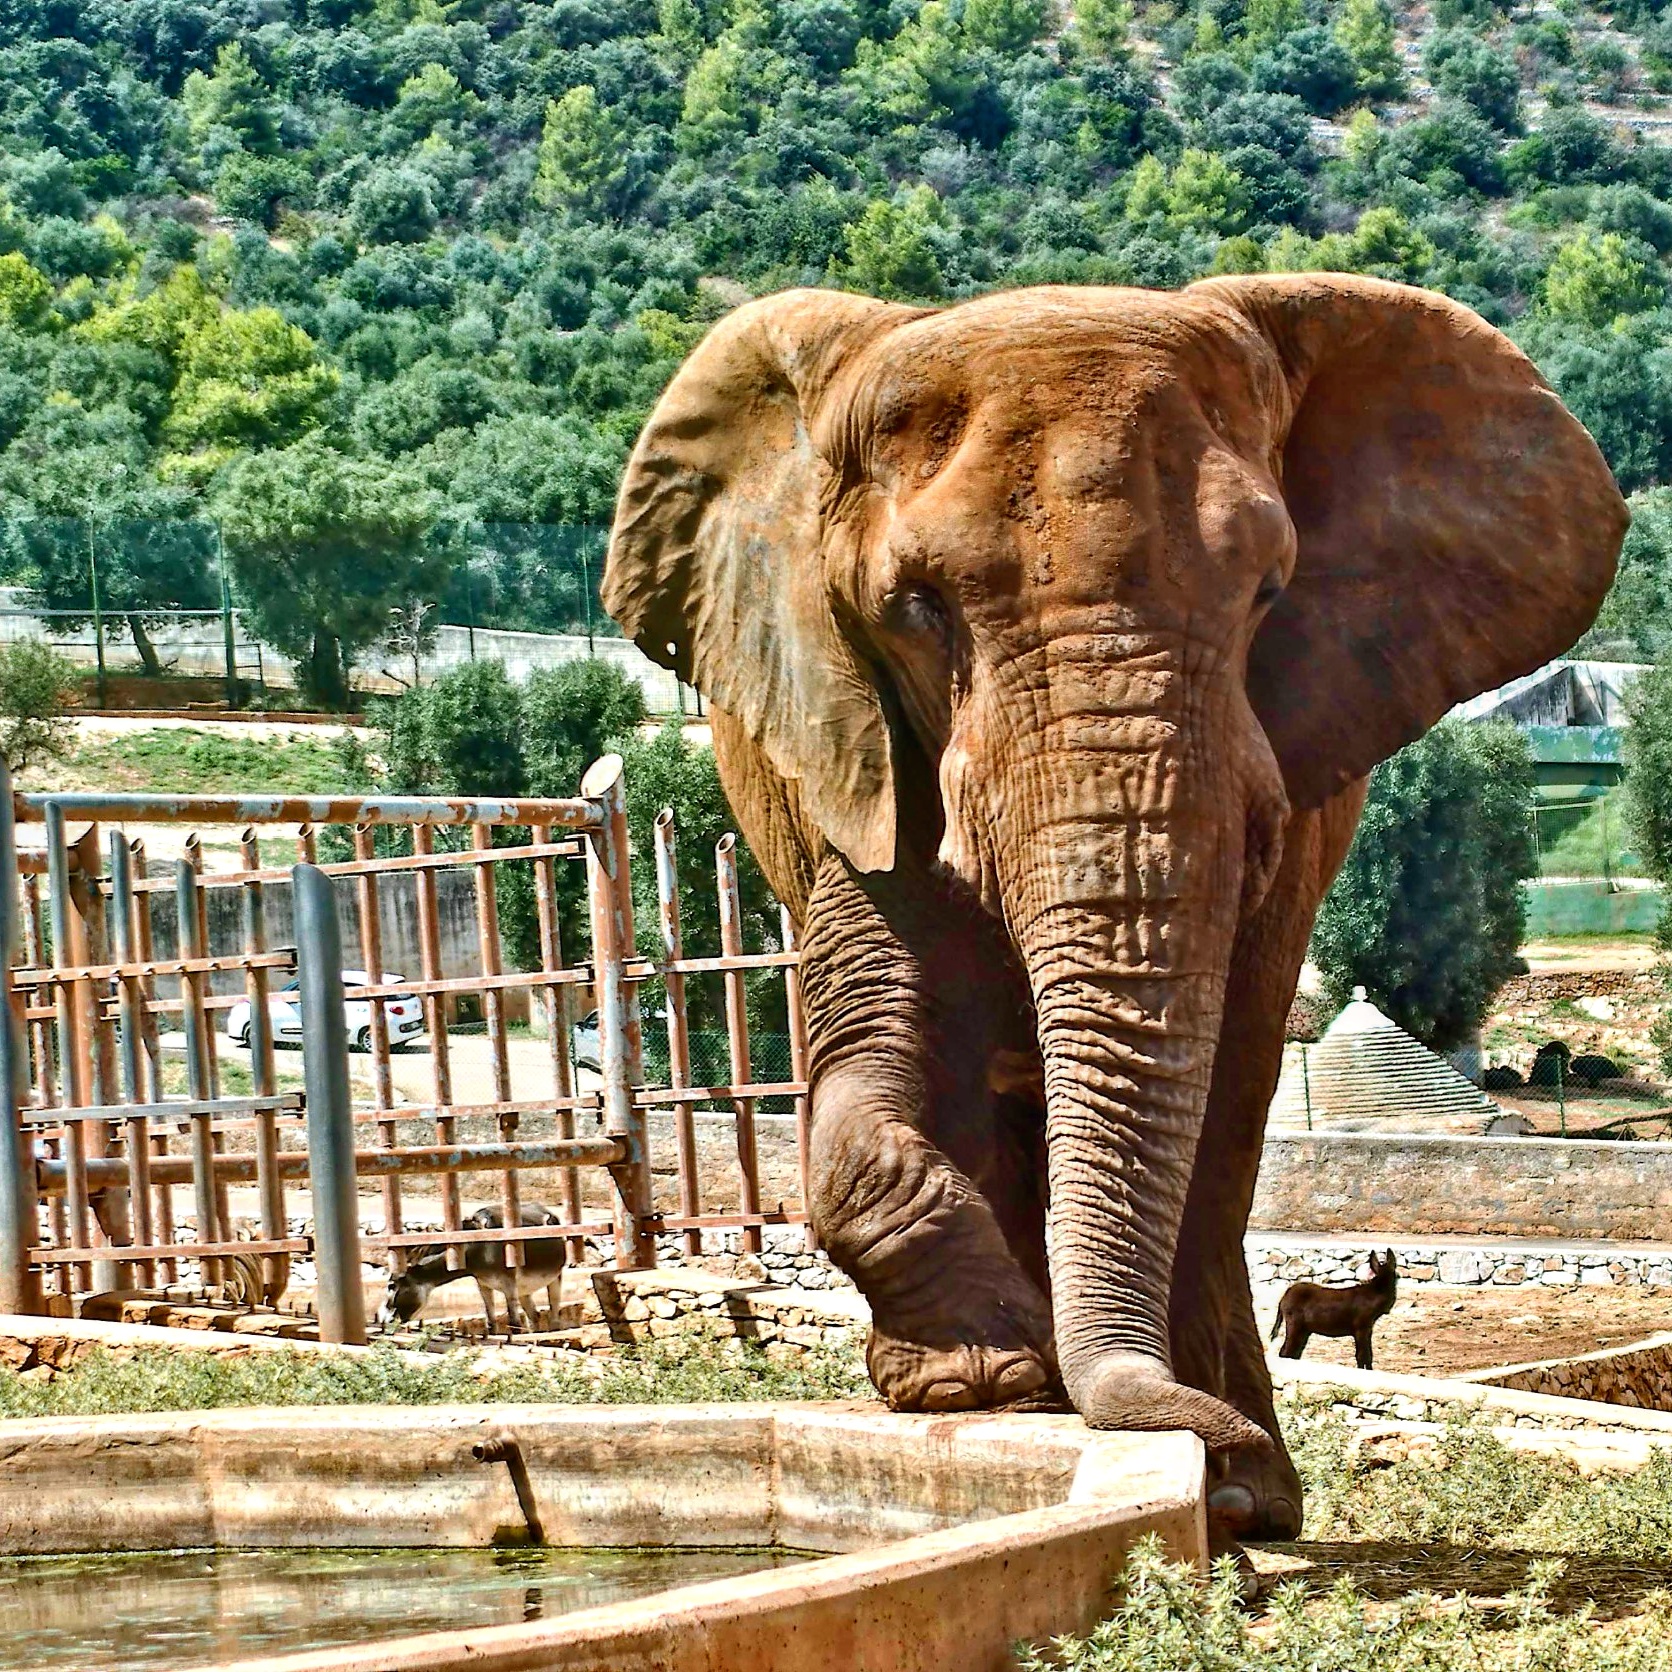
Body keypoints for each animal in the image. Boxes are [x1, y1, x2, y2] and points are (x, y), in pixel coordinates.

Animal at [601, 274, 1625, 1541]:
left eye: (1269, 590)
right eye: (912, 608)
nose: (1220, 1465)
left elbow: (1223, 1082)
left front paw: (1229, 1486)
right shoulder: (846, 740)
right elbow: (873, 1049)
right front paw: (991, 1384)